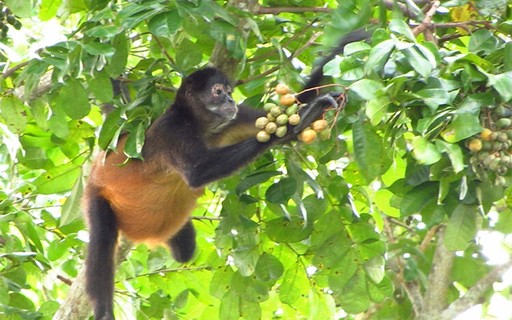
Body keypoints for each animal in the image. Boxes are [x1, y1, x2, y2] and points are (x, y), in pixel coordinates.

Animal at [86, 29, 370, 320]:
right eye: (217, 91)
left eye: (229, 92)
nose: (230, 100)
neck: (200, 127)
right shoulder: (172, 130)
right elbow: (198, 173)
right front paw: (298, 124)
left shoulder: (234, 117)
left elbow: (293, 103)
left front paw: (352, 40)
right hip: (98, 195)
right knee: (103, 237)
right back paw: (104, 311)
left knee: (184, 249)